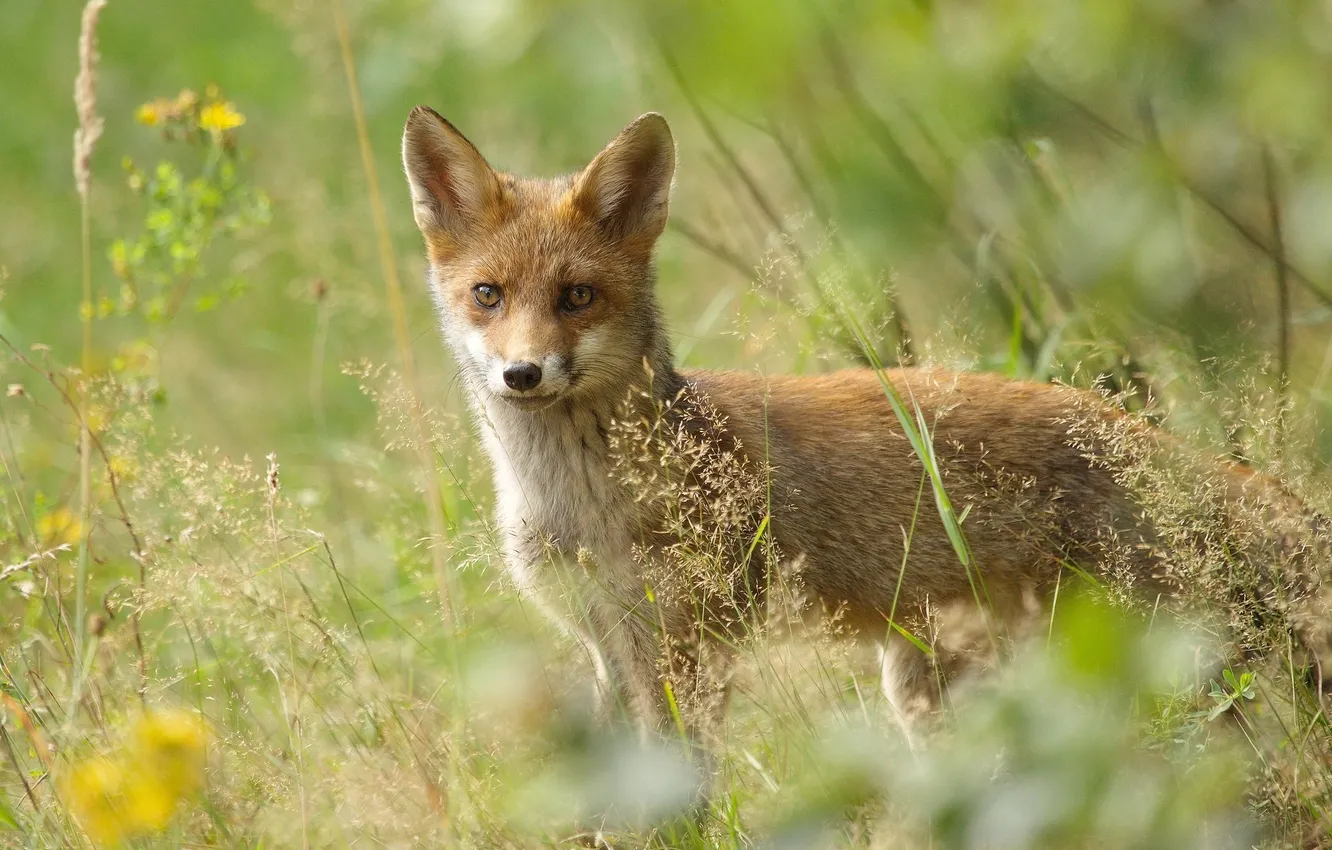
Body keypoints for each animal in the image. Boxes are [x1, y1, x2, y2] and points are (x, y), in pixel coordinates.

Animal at [399, 105, 1326, 756]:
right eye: (488, 295)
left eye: (577, 297)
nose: (523, 374)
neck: (575, 503)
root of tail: (1144, 440)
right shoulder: (604, 641)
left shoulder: (688, 647)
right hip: (929, 687)